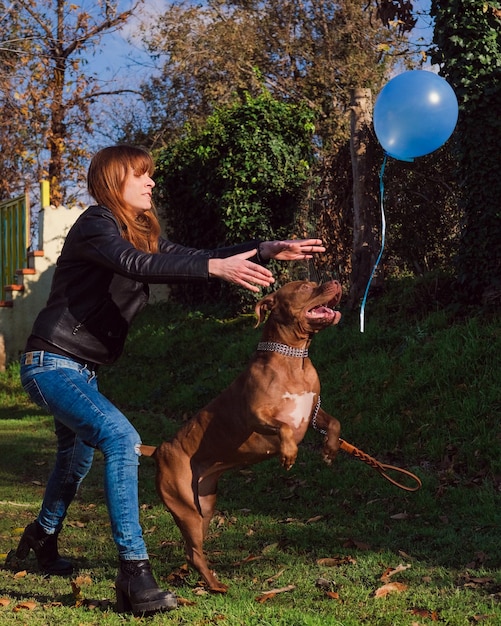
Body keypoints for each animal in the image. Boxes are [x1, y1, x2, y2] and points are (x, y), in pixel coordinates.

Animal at [143, 280, 342, 592]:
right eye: (304, 287)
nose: (335, 281)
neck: (293, 357)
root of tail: (158, 450)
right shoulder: (256, 416)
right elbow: (283, 428)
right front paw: (289, 454)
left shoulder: (312, 411)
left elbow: (334, 422)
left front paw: (330, 448)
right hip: (184, 507)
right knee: (193, 551)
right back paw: (215, 585)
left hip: (204, 504)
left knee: (192, 549)